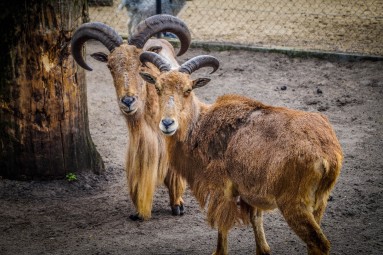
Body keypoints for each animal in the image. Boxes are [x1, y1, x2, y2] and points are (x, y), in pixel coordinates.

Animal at [140, 52, 344, 255]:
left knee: (319, 243)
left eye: (188, 89)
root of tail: (327, 154)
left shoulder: (222, 190)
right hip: (319, 202)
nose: (168, 123)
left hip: (294, 204)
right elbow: (257, 222)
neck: (200, 126)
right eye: (157, 88)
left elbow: (222, 228)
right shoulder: (250, 193)